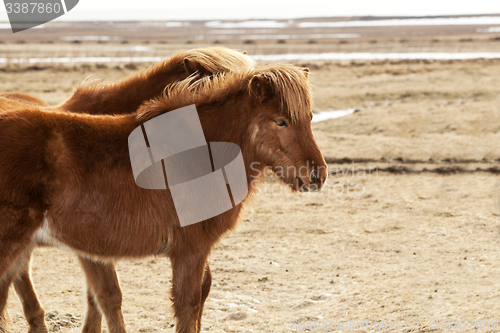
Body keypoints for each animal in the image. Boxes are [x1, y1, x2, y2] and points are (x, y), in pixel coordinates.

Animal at [0, 63, 328, 330]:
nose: (317, 175)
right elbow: (187, 307)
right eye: (281, 121)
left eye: (310, 118)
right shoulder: (190, 250)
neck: (195, 152)